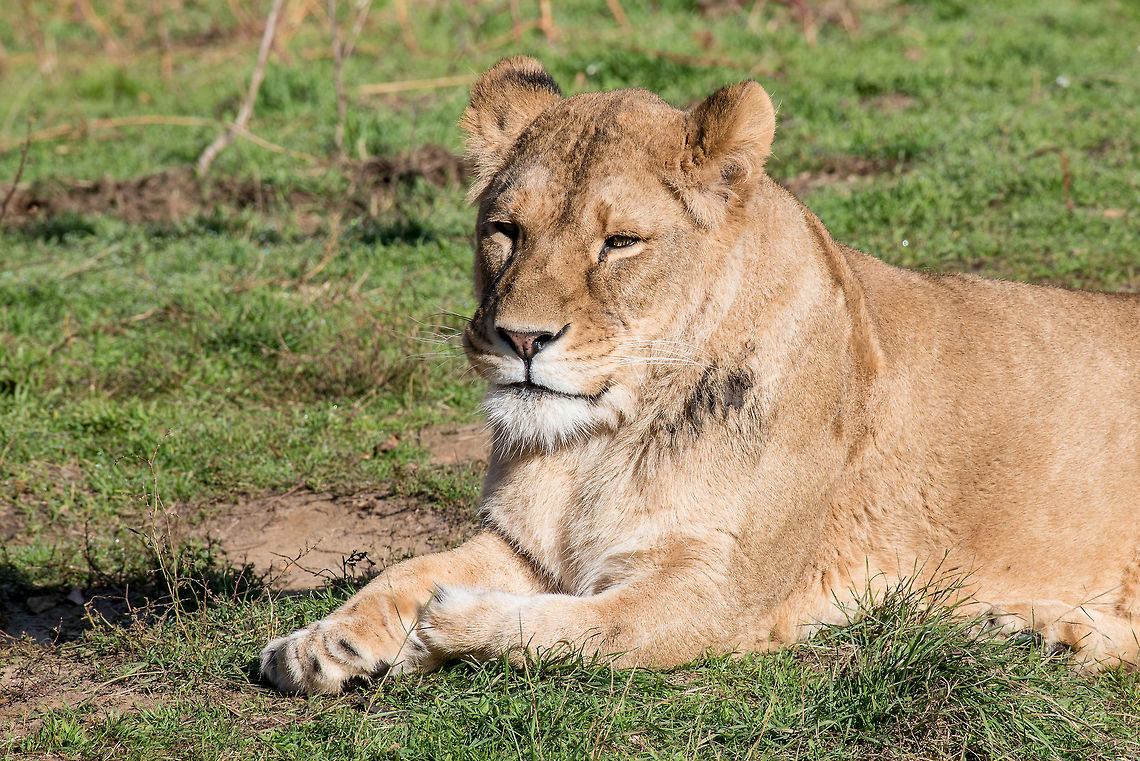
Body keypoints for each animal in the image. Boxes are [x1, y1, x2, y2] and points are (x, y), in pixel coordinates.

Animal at [260, 57, 1140, 694]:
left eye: (619, 243)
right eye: (506, 230)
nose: (521, 338)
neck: (598, 442)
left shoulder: (719, 595)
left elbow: (581, 629)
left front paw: (447, 627)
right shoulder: (529, 543)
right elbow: (405, 569)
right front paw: (321, 642)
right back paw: (1038, 634)